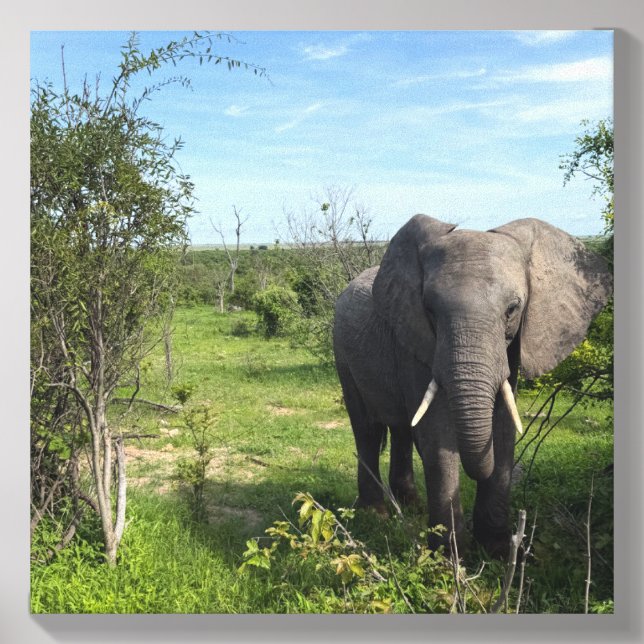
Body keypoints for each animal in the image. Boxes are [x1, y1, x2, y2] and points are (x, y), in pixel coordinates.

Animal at [333, 214, 612, 557]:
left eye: (512, 309)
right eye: (429, 310)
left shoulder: (511, 346)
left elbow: (503, 429)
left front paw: (499, 551)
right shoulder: (414, 340)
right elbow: (436, 436)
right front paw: (449, 559)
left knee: (401, 430)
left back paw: (411, 507)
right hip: (343, 353)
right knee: (368, 430)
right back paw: (376, 515)